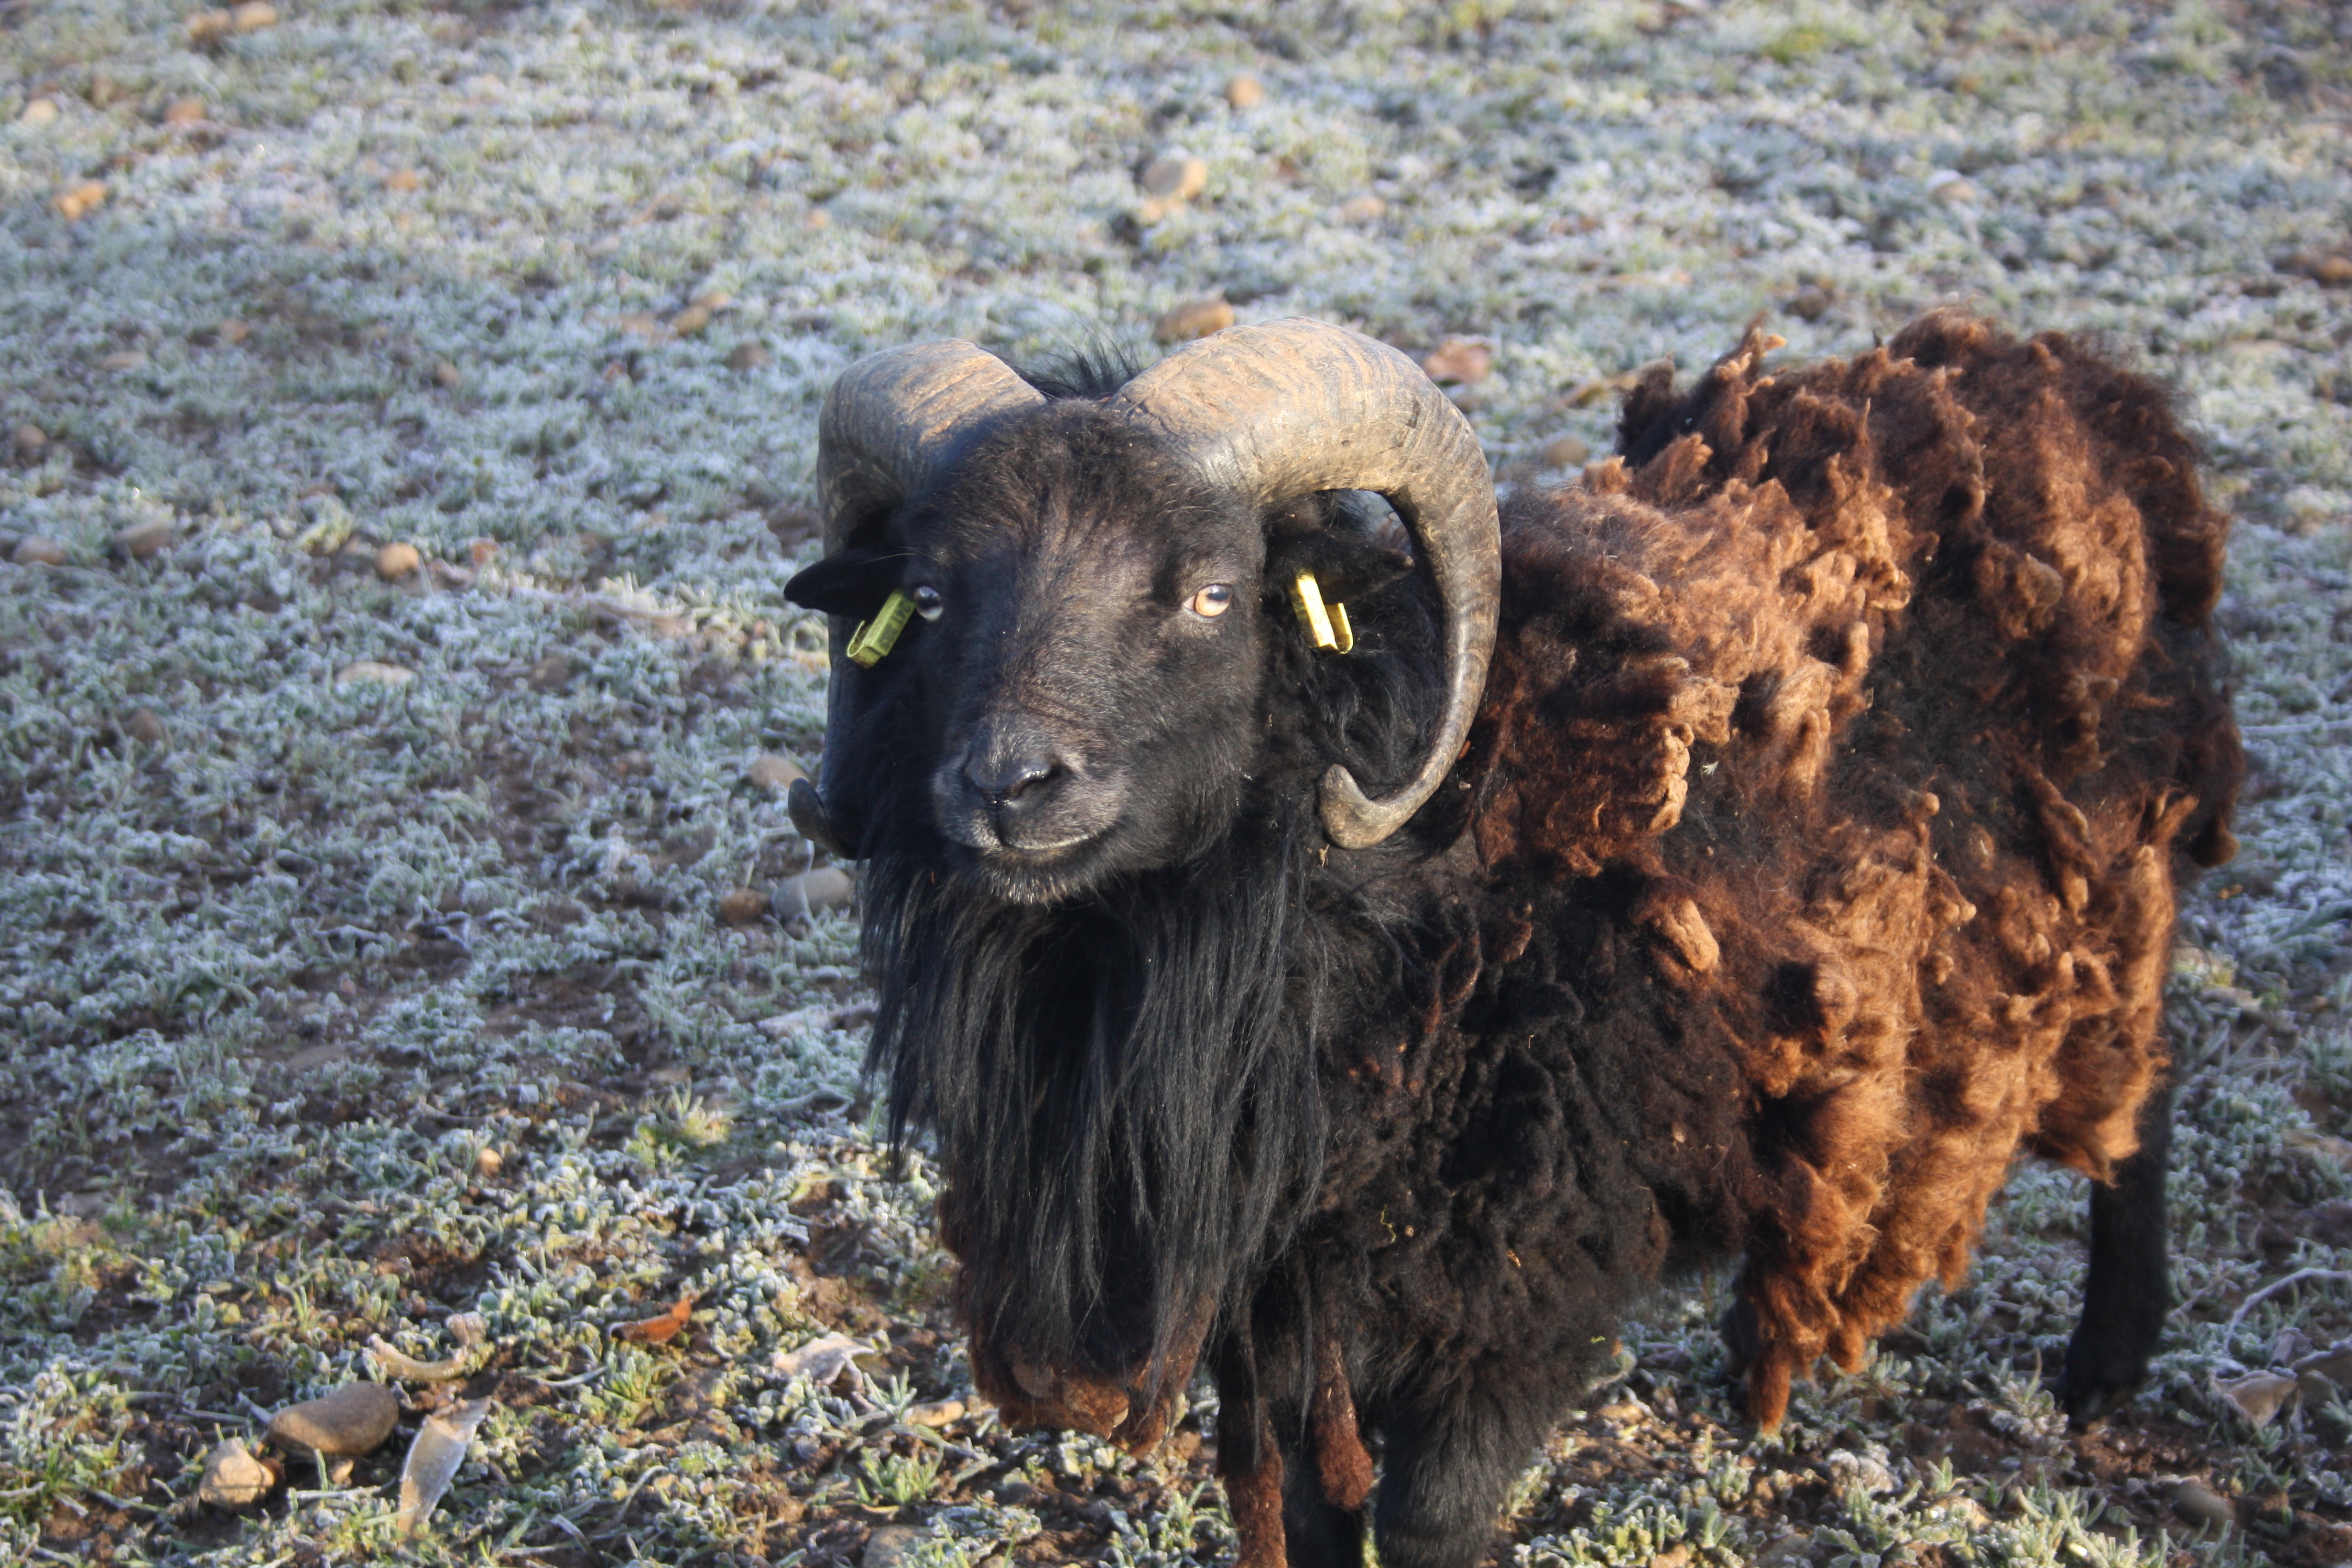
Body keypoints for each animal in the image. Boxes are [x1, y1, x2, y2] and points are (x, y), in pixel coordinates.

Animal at [779, 310, 2240, 1568]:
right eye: (929, 593)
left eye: (1207, 593)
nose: (1008, 786)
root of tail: (2070, 379)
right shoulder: (1296, 1302)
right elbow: (1323, 1515)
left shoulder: (1515, 1309)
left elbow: (1431, 1523)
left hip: (2110, 892)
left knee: (2148, 1094)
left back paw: (2107, 1363)